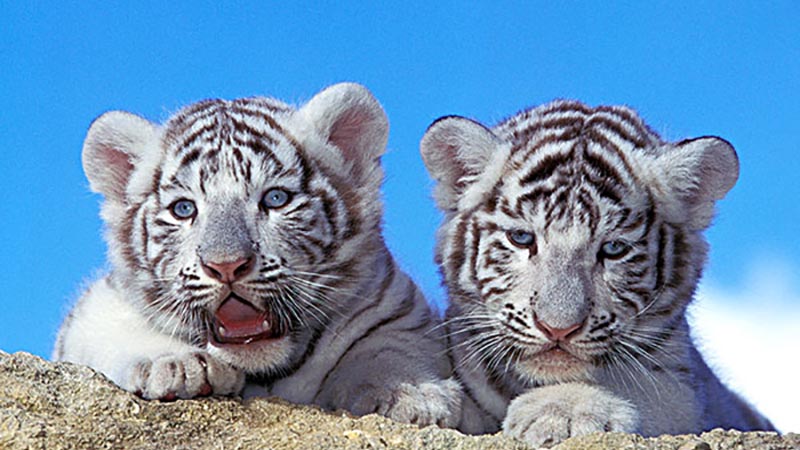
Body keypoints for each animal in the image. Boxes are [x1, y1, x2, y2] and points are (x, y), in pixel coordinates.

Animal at [53, 82, 461, 427]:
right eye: (184, 209)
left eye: (276, 199)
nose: (226, 266)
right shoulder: (95, 306)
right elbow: (123, 326)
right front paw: (179, 364)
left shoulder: (394, 306)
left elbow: (389, 348)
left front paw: (410, 393)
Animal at [419, 100, 775, 446]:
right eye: (521, 238)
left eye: (614, 248)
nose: (558, 329)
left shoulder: (688, 391)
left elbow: (652, 390)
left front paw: (563, 409)